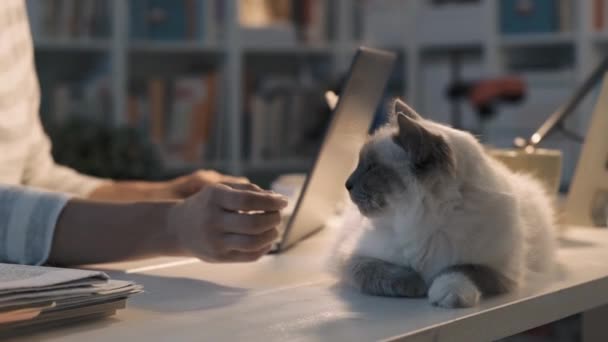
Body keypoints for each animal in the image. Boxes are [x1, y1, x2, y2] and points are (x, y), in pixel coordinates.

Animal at [330, 98, 560, 308]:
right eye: (361, 164)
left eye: (371, 167)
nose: (347, 184)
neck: (424, 221)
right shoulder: (353, 257)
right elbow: (384, 272)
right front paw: (418, 284)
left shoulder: (501, 271)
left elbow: (460, 269)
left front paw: (446, 293)